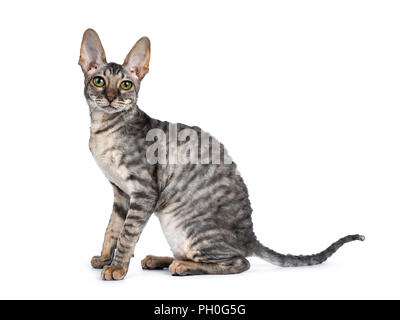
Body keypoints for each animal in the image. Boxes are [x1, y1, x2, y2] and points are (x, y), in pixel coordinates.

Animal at [79, 29, 366, 280]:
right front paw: (104, 259)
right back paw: (161, 260)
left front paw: (117, 268)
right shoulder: (121, 192)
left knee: (240, 261)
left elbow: (127, 234)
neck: (103, 130)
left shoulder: (143, 190)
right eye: (99, 81)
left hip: (186, 226)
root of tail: (250, 236)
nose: (111, 97)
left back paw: (181, 266)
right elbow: (112, 230)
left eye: (126, 84)